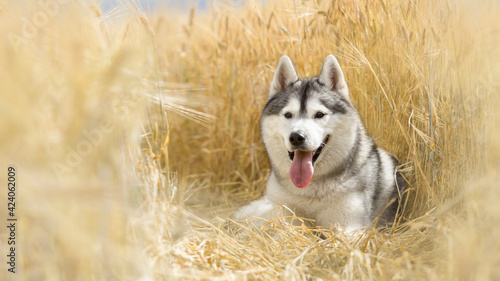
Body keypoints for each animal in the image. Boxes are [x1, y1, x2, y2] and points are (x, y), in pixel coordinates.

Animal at [235, 54, 406, 230]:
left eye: (319, 114)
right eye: (288, 115)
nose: (296, 137)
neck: (309, 189)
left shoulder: (350, 224)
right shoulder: (282, 210)